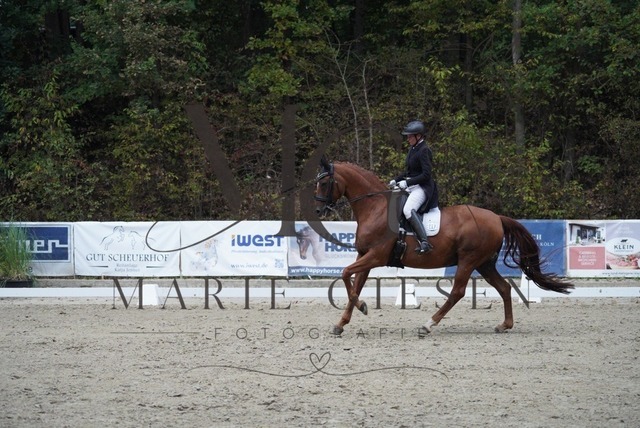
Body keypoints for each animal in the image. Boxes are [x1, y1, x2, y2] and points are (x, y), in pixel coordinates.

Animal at [314, 158, 574, 335]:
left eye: (324, 183)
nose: (318, 211)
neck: (375, 207)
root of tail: (496, 217)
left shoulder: (376, 256)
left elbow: (345, 273)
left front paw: (361, 307)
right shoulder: (364, 255)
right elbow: (354, 285)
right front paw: (343, 322)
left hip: (469, 260)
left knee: (458, 292)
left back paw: (428, 324)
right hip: (485, 263)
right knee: (504, 288)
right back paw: (504, 325)